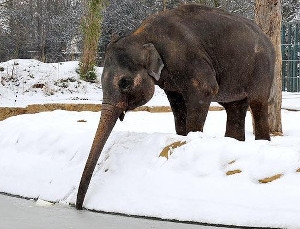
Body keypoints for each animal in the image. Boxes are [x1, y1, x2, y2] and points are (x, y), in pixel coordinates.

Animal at [75, 3, 274, 209]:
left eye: (124, 83)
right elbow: (177, 104)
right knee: (234, 108)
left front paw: (193, 136)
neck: (142, 35)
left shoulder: (190, 60)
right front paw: (181, 136)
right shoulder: (170, 81)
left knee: (257, 102)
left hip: (262, 68)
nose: (79, 206)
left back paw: (262, 141)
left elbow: (205, 91)